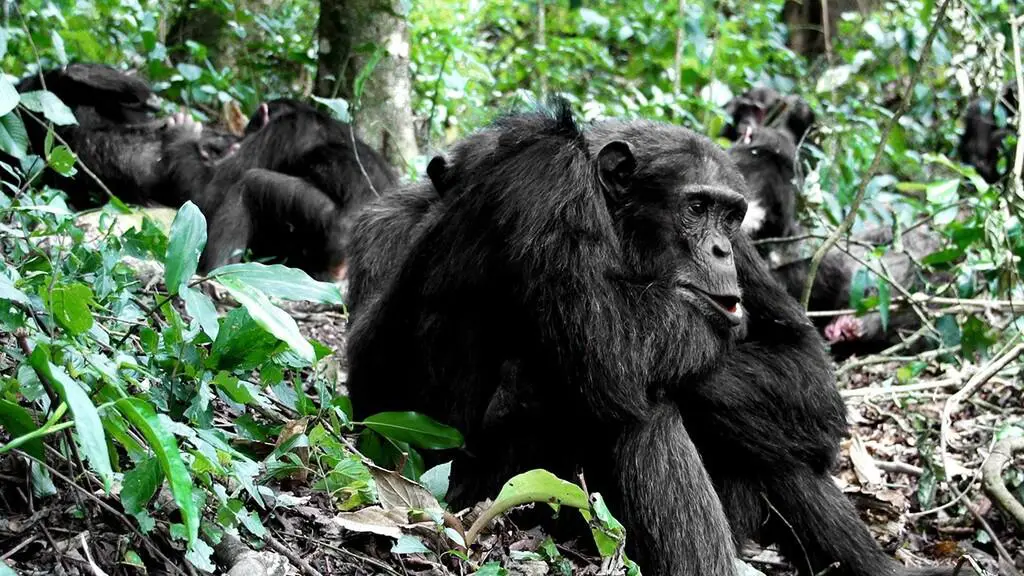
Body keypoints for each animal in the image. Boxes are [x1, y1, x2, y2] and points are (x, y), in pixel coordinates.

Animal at [159, 97, 399, 278]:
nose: (241, 139)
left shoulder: (280, 131)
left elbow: (207, 193)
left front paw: (182, 132)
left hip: (328, 229)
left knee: (248, 185)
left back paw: (215, 272)